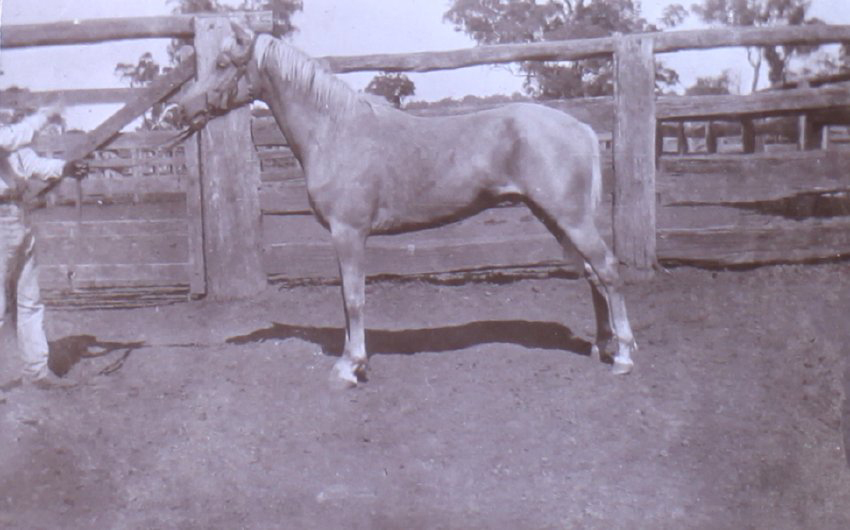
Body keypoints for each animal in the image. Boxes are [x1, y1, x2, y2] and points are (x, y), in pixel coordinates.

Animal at [176, 20, 637, 387]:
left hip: (571, 219)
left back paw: (624, 357)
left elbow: (354, 298)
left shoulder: (349, 233)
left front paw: (350, 367)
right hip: (556, 219)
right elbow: (346, 297)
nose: (179, 113)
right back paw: (601, 348)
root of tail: (580, 127)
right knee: (592, 275)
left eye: (222, 64)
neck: (335, 130)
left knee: (608, 271)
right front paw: (350, 360)